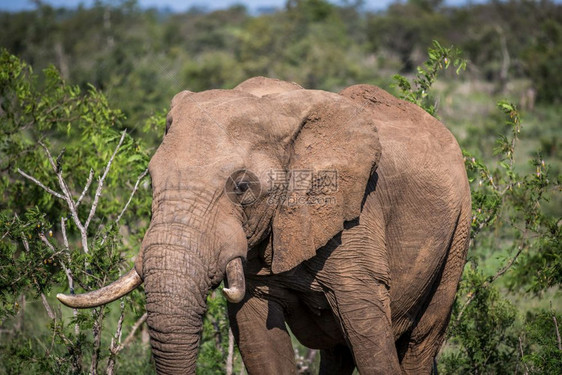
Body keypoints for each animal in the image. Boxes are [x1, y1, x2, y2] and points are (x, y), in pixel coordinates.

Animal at [57, 77, 468, 375]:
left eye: (242, 187)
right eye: (151, 178)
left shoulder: (355, 217)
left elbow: (368, 334)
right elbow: (259, 340)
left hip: (458, 229)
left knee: (421, 340)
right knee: (339, 350)